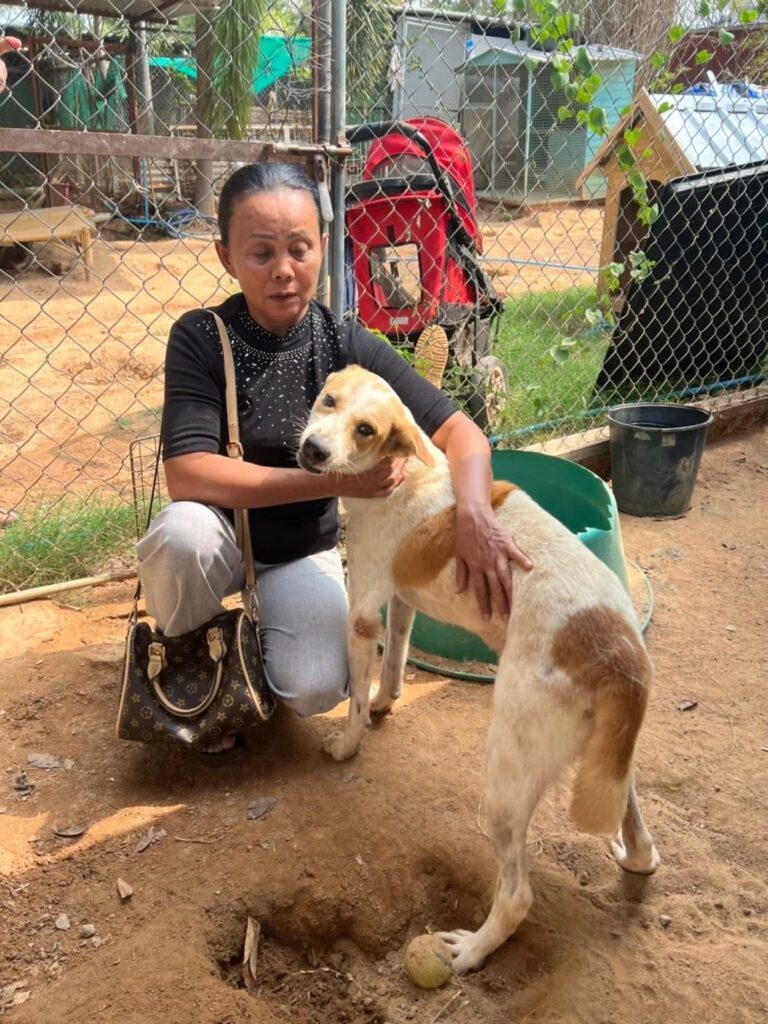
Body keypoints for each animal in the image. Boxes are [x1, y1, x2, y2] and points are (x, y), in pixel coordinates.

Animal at [296, 364, 659, 970]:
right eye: (328, 400)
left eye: (365, 429)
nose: (312, 450)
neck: (404, 470)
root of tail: (620, 652)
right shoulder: (403, 601)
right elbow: (395, 661)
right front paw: (385, 704)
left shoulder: (363, 610)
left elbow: (354, 699)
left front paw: (348, 744)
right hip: (609, 755)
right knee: (636, 822)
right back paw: (635, 859)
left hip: (506, 782)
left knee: (516, 895)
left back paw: (469, 951)